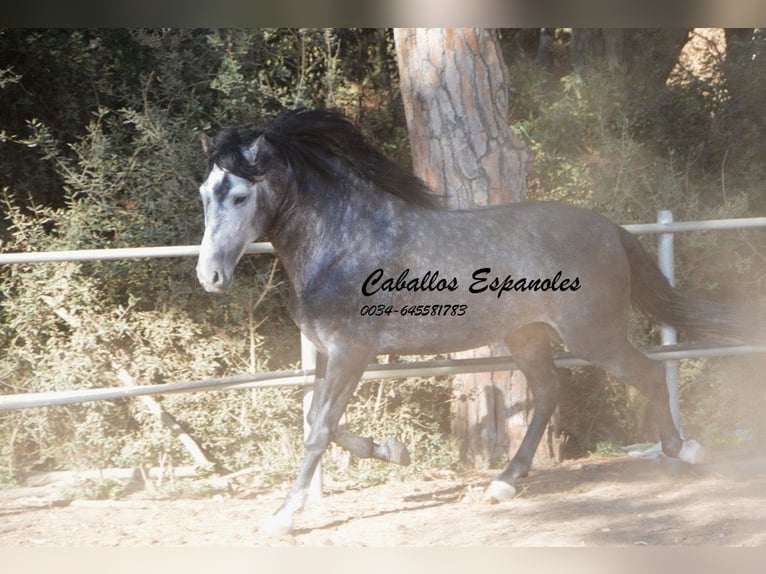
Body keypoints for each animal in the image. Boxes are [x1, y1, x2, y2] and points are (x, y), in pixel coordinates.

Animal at [196, 108, 756, 536]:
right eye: (205, 193)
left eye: (240, 196)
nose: (210, 276)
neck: (343, 242)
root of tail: (611, 230)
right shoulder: (327, 354)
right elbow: (321, 421)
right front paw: (395, 451)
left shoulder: (352, 353)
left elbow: (318, 430)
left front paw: (281, 518)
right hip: (527, 336)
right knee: (549, 392)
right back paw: (505, 482)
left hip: (594, 336)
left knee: (648, 374)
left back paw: (685, 452)